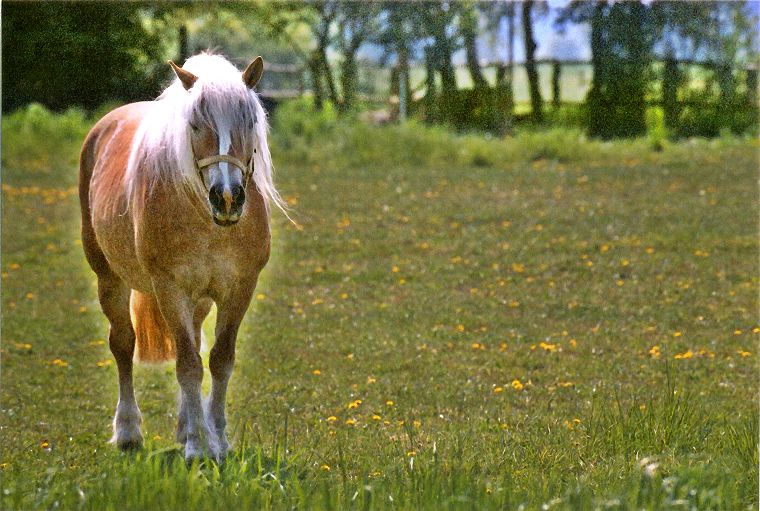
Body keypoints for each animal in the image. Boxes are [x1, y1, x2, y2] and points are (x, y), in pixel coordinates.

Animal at [78, 53, 284, 464]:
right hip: (109, 278)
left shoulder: (240, 288)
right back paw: (128, 431)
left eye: (250, 121)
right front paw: (197, 448)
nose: (227, 197)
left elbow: (219, 360)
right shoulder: (169, 289)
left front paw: (216, 439)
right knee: (123, 343)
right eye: (194, 124)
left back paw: (188, 424)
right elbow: (187, 364)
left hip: (199, 298)